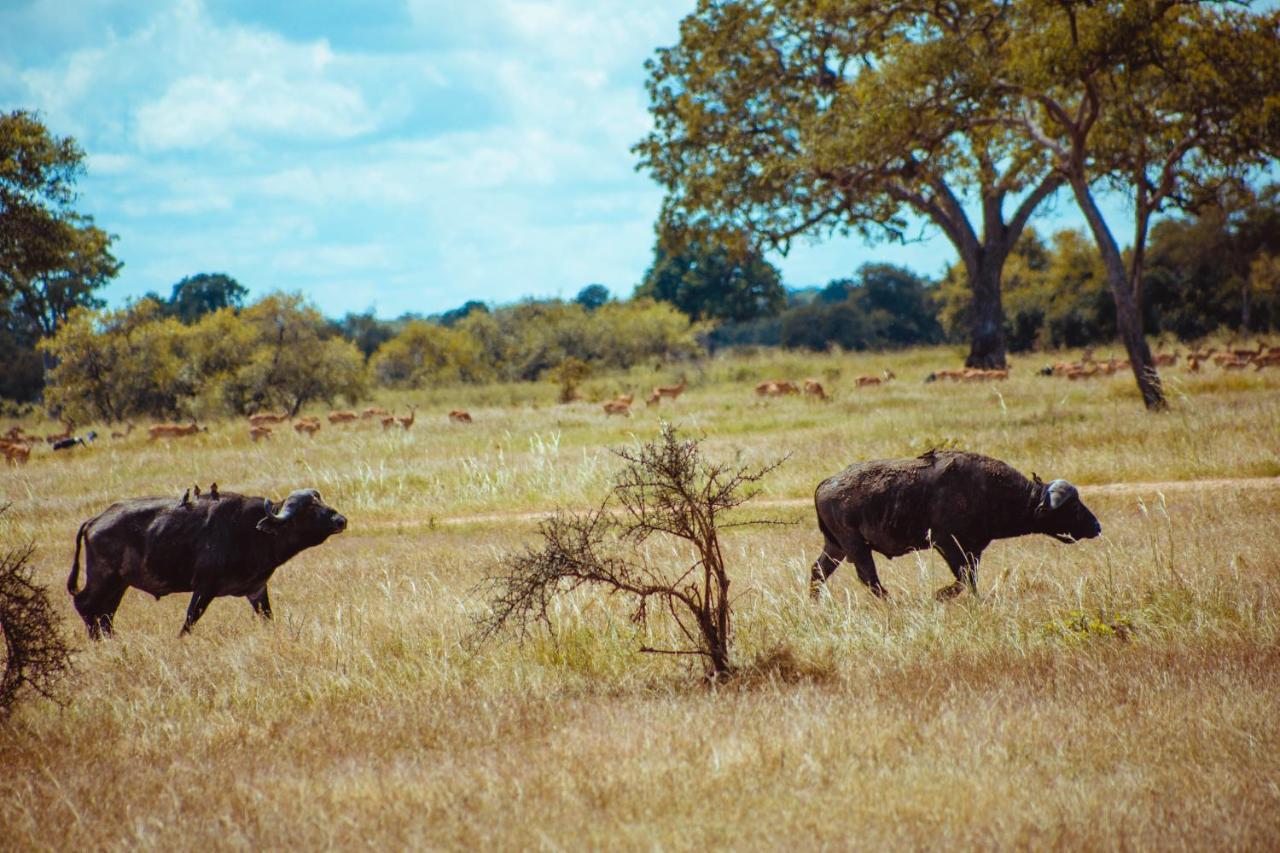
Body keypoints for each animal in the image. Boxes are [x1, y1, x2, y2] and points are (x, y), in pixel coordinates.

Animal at [67, 489, 348, 635]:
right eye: (309, 508)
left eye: (320, 500)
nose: (341, 520)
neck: (253, 532)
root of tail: (94, 520)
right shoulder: (204, 588)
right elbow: (190, 621)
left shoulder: (256, 590)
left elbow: (268, 618)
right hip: (103, 578)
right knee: (85, 605)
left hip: (118, 585)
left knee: (105, 614)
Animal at [808, 448, 1100, 594]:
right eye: (1073, 506)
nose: (1096, 526)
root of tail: (826, 482)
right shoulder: (947, 543)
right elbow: (963, 580)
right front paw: (940, 596)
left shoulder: (974, 549)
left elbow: (970, 579)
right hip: (855, 546)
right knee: (870, 579)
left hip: (836, 547)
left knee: (817, 571)